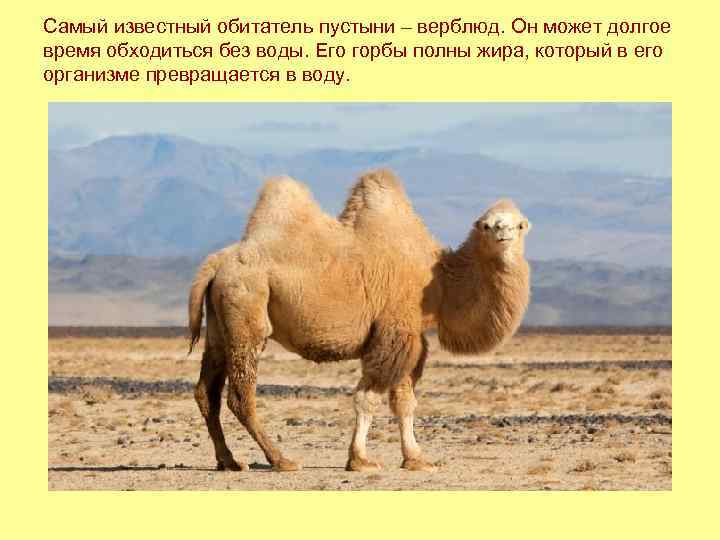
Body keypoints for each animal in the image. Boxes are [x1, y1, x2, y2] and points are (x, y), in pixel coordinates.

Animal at [188, 169, 531, 472]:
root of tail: (216, 262)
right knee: (240, 395)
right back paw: (281, 460)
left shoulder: (411, 338)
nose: (503, 232)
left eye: (520, 224)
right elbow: (369, 398)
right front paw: (360, 460)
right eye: (486, 225)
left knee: (207, 392)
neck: (440, 281)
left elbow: (404, 401)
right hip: (247, 308)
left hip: (220, 325)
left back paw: (229, 461)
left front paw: (416, 459)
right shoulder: (394, 332)